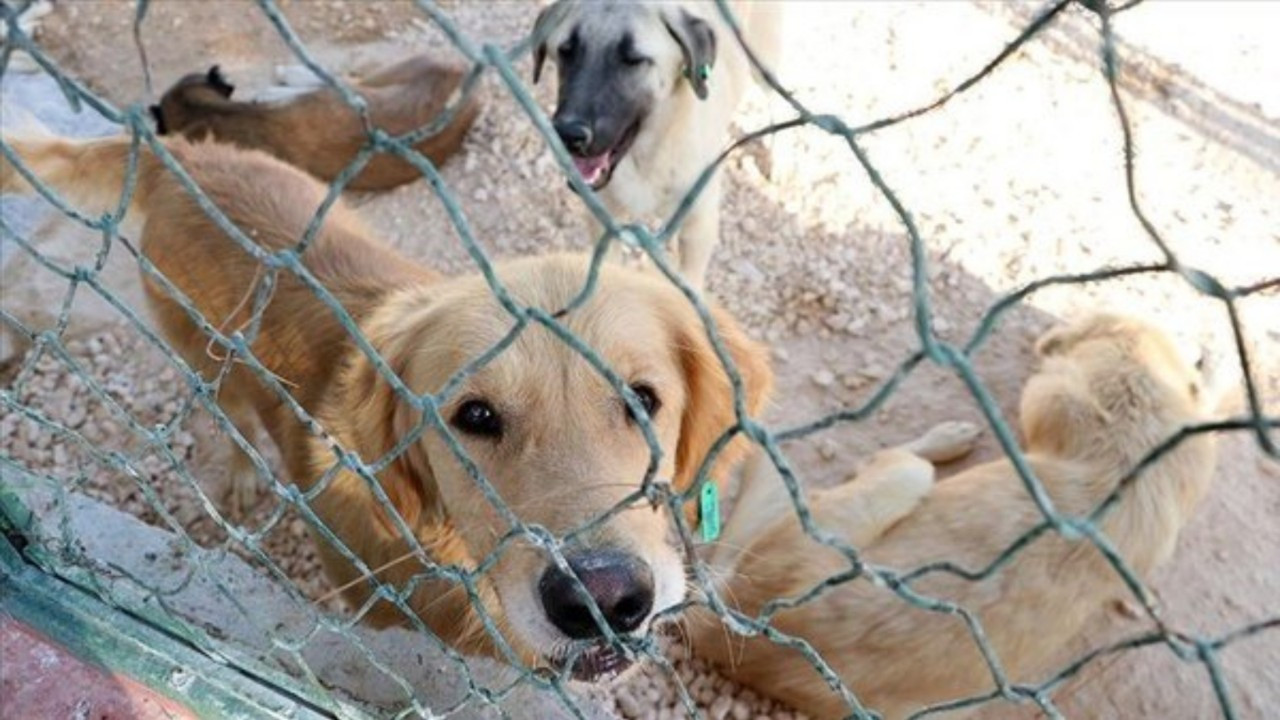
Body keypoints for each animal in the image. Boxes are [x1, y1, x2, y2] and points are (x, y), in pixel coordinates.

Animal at [0, 130, 768, 676]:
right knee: (227, 410)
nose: (604, 600)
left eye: (643, 399)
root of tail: (184, 153)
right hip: (201, 353)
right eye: (474, 417)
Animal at [527, 0, 778, 285]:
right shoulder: (605, 220)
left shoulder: (699, 229)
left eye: (633, 59)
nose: (568, 134)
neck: (648, 158)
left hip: (765, 61)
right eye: (566, 51)